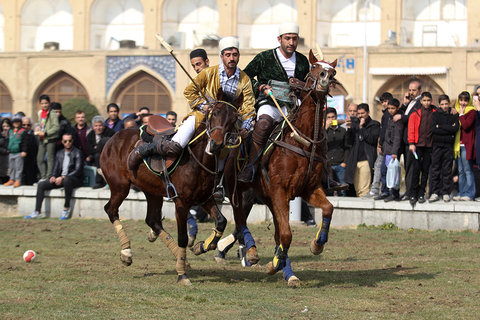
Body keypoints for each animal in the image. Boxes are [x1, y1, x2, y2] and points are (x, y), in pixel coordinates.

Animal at [101, 100, 242, 284]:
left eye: (234, 119)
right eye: (215, 113)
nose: (216, 144)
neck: (199, 160)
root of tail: (112, 138)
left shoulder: (204, 198)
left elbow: (221, 221)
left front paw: (202, 246)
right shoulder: (181, 202)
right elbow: (183, 237)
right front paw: (182, 275)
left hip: (152, 191)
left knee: (152, 220)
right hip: (120, 186)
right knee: (111, 209)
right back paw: (126, 253)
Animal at [224, 50, 338, 288]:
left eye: (333, 71)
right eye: (315, 67)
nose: (325, 79)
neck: (303, 141)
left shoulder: (308, 189)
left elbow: (328, 208)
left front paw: (316, 245)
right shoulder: (280, 190)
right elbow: (286, 235)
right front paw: (273, 264)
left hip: (264, 197)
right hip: (237, 192)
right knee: (240, 221)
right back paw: (251, 252)